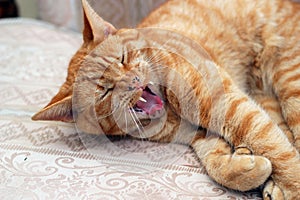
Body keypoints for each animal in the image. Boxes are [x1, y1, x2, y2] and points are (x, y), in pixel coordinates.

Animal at [31, 0, 298, 199]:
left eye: (123, 58)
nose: (134, 81)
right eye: (106, 91)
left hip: (289, 81)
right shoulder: (200, 132)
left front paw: (293, 187)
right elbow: (216, 161)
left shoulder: (224, 103)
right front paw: (245, 166)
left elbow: (274, 147)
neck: (171, 114)